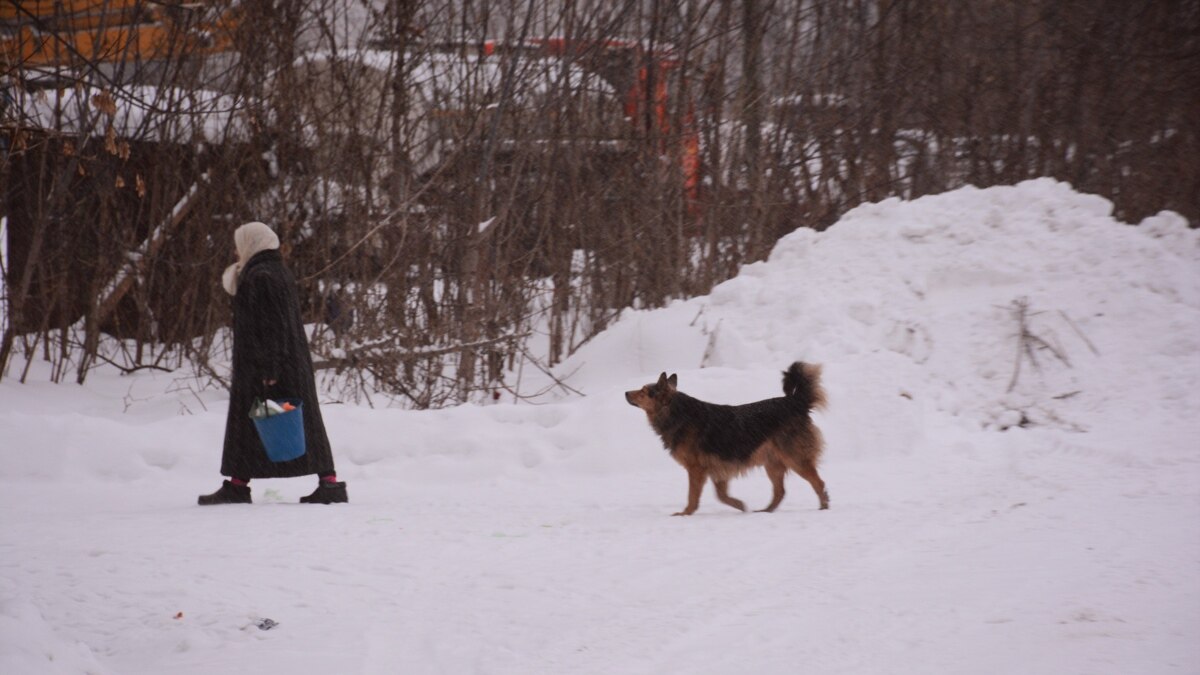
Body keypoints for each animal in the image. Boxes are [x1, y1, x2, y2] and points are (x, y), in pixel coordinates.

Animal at [624, 362, 830, 514]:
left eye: (643, 391)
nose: (626, 393)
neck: (675, 413)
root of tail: (796, 402)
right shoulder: (717, 468)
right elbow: (721, 495)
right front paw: (740, 505)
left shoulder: (696, 469)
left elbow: (693, 495)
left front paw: (686, 513)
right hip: (772, 463)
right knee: (780, 491)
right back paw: (765, 511)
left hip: (795, 458)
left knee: (818, 482)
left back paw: (823, 506)